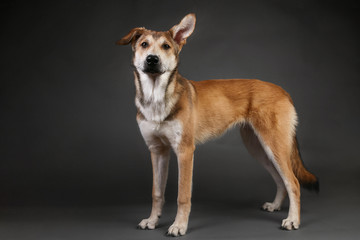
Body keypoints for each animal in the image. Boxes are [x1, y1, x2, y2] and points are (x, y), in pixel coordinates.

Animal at [116, 13, 318, 236]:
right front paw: (152, 221)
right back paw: (275, 206)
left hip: (274, 147)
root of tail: (283, 91)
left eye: (166, 46)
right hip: (260, 149)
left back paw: (292, 220)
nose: (152, 59)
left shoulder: (185, 152)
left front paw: (179, 226)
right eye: (144, 44)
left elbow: (183, 195)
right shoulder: (157, 151)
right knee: (281, 180)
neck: (157, 97)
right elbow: (156, 193)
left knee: (294, 183)